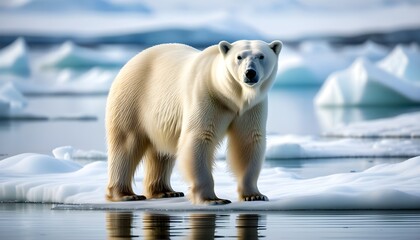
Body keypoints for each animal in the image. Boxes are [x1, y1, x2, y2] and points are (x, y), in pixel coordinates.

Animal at [105, 39, 282, 204]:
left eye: (261, 56)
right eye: (239, 57)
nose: (250, 73)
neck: (228, 94)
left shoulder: (252, 107)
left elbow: (248, 141)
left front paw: (254, 195)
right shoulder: (206, 96)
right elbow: (199, 138)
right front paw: (213, 199)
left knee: (161, 153)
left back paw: (166, 191)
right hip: (132, 99)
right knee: (127, 143)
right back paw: (126, 195)